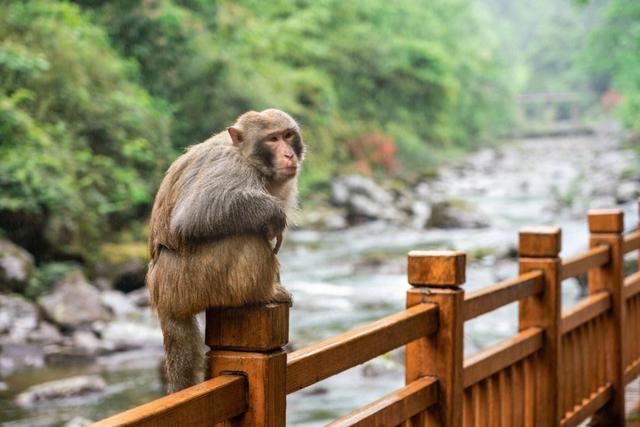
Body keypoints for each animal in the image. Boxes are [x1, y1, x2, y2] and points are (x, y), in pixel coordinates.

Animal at [146, 109, 304, 394]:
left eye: (288, 135)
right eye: (273, 139)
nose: (289, 154)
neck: (248, 158)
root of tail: (158, 289)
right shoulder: (230, 167)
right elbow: (194, 215)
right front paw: (274, 214)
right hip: (193, 279)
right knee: (245, 235)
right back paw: (263, 294)